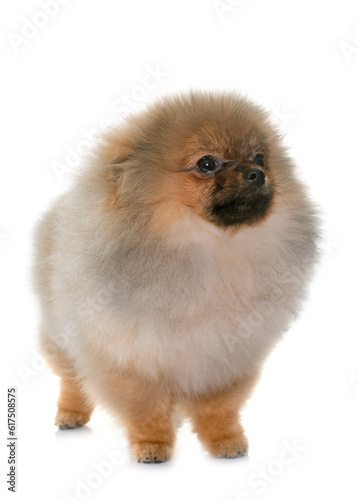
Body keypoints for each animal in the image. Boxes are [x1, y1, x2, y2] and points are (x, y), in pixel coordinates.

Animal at [32, 92, 318, 462]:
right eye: (207, 164)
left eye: (260, 158)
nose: (257, 174)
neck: (216, 250)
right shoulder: (131, 357)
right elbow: (147, 408)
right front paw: (152, 444)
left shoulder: (226, 356)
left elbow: (218, 407)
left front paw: (225, 440)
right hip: (61, 334)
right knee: (72, 378)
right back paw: (71, 414)